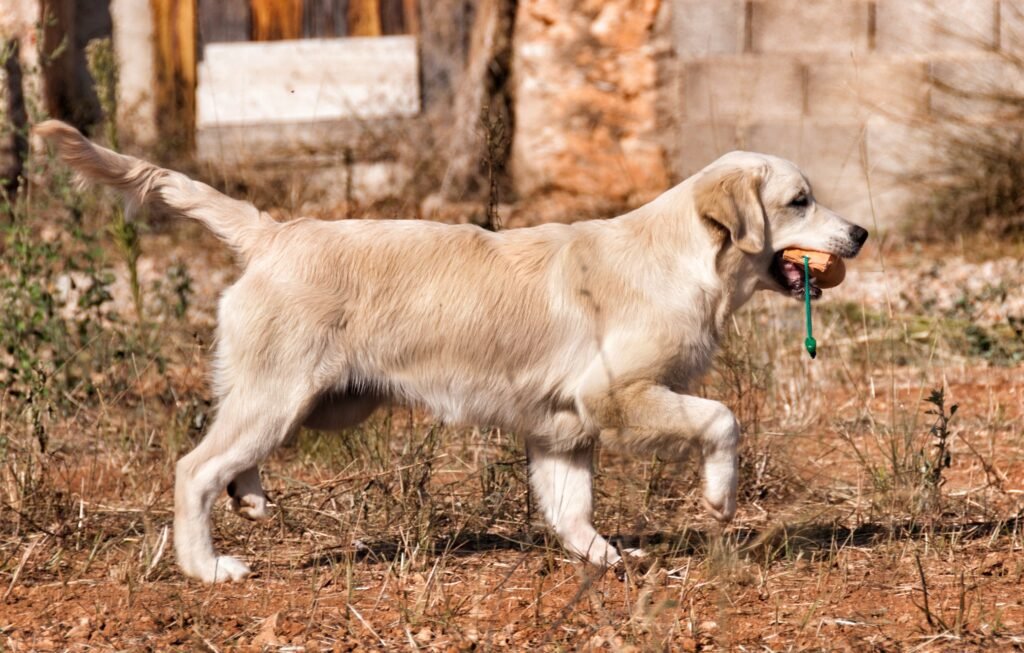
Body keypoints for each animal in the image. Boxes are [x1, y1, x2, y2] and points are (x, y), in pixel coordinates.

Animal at [36, 120, 868, 585]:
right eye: (799, 200)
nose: (860, 232)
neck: (682, 257)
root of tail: (274, 230)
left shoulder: (562, 430)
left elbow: (572, 511)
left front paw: (606, 560)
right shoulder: (618, 395)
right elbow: (723, 417)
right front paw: (721, 495)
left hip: (316, 402)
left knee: (230, 453)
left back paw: (250, 494)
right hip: (282, 395)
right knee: (194, 467)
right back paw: (206, 566)